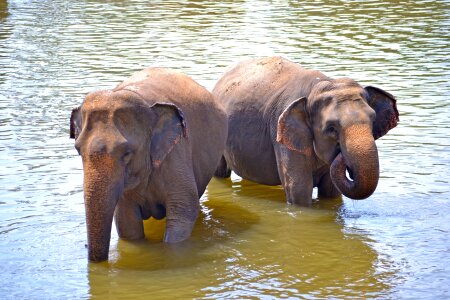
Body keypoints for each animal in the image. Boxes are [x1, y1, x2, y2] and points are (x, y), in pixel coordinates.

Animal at [213, 56, 400, 206]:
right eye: (331, 128)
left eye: (372, 121)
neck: (317, 86)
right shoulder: (281, 132)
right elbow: (299, 190)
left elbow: (331, 191)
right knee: (220, 172)